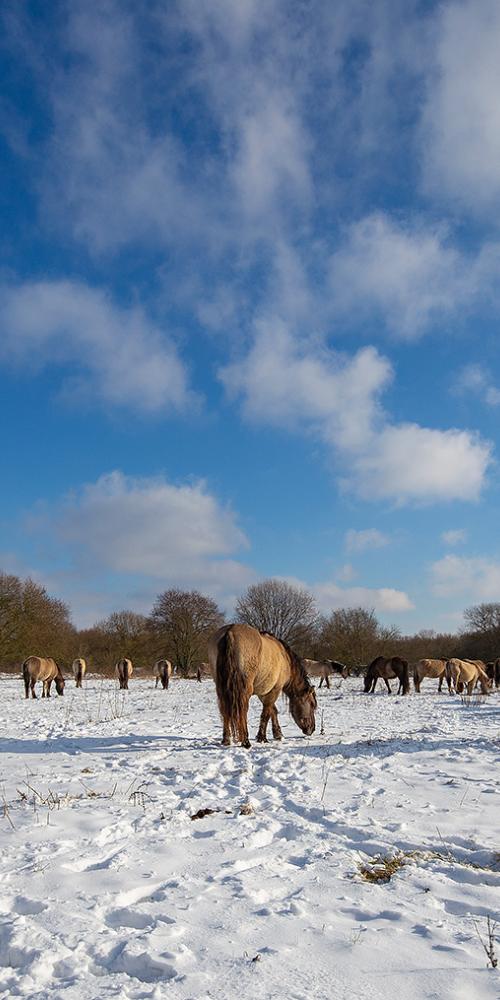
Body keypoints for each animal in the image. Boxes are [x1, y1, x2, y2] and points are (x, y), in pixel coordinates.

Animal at [208, 620, 316, 748]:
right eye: (312, 705)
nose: (312, 729)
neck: (284, 657)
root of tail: (230, 632)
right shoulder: (275, 689)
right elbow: (266, 713)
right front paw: (262, 737)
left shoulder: (264, 692)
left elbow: (272, 710)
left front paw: (278, 734)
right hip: (244, 690)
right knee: (242, 711)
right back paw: (245, 741)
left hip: (221, 689)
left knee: (224, 710)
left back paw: (226, 740)